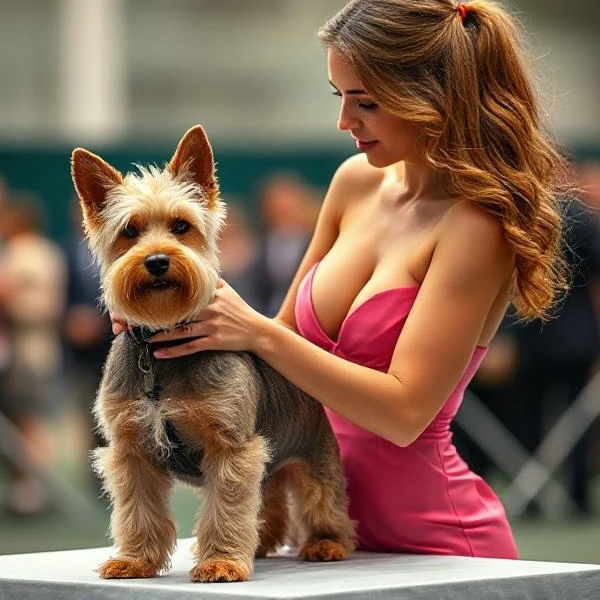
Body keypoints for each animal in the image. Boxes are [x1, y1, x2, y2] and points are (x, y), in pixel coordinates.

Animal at [69, 125, 354, 580]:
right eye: (129, 231)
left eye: (181, 225)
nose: (157, 260)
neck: (161, 348)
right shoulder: (132, 452)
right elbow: (137, 510)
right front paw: (135, 559)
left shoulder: (231, 448)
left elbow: (227, 508)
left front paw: (221, 561)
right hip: (272, 464)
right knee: (270, 504)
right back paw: (263, 544)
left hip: (314, 458)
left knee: (323, 502)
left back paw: (326, 543)